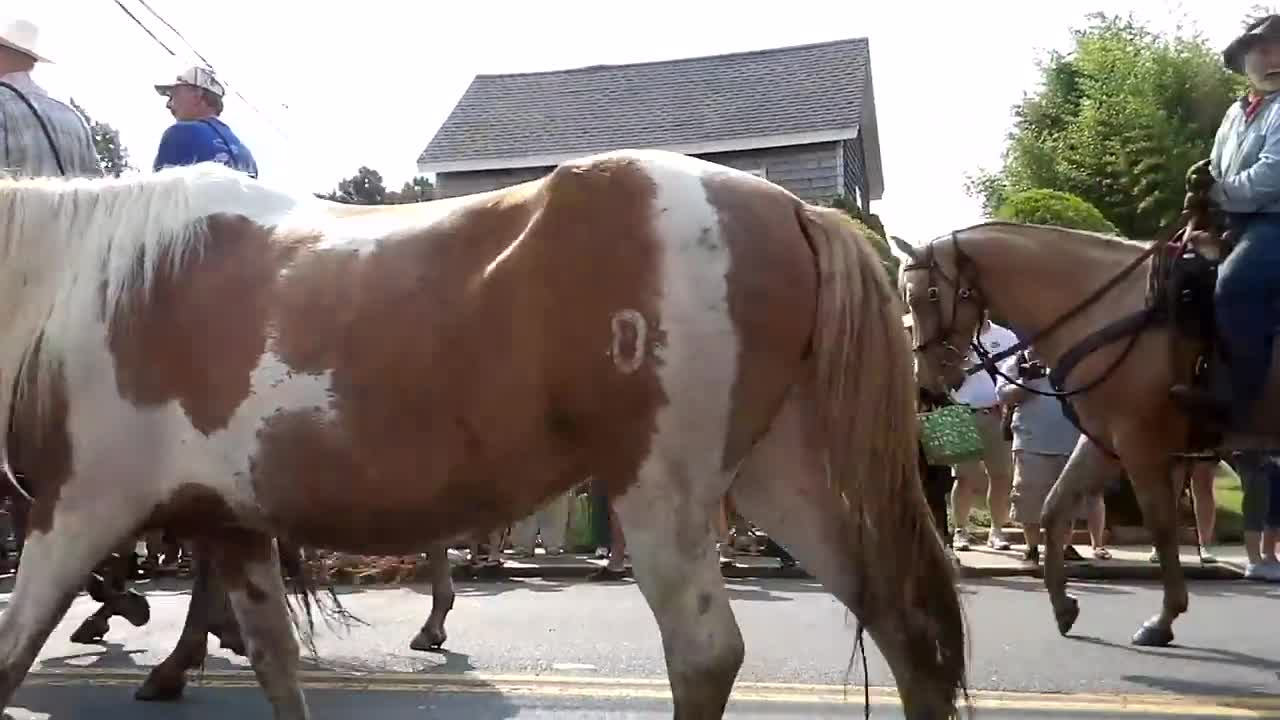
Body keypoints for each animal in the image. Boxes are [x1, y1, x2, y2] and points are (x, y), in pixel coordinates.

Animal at [0, 148, 962, 712]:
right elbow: (276, 659)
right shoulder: (230, 524)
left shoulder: (78, 506)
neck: (83, 281)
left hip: (664, 493)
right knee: (905, 627)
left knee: (704, 654)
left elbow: (13, 651)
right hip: (786, 476)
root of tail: (790, 207)